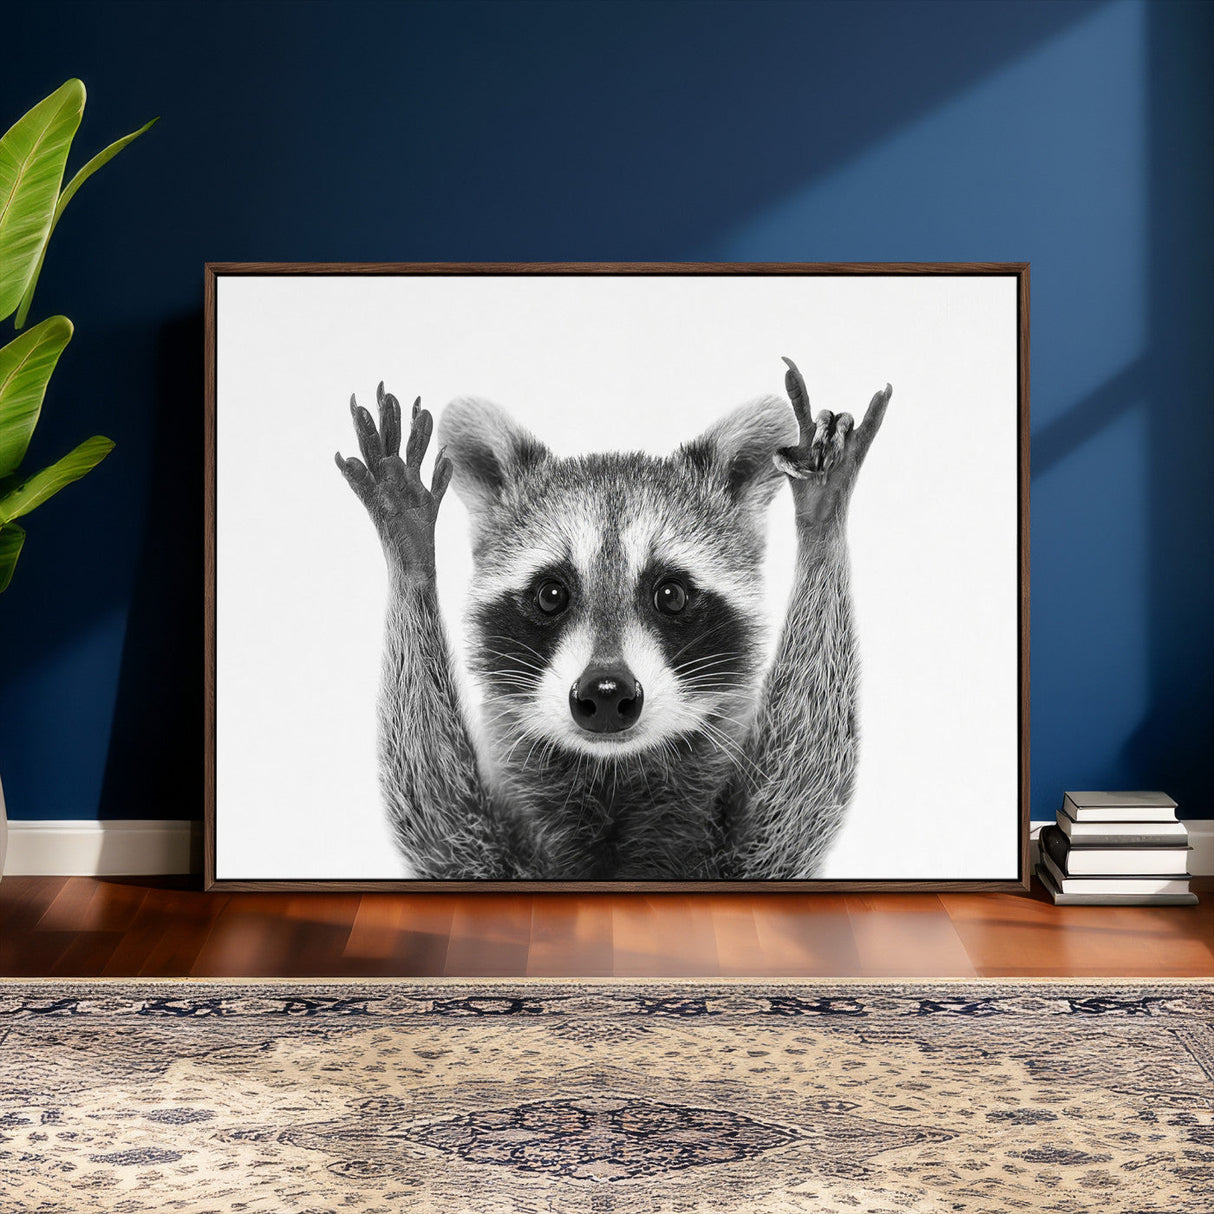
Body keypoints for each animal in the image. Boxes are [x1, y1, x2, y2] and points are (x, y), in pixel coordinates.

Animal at [335, 359, 890, 880]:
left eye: (670, 595)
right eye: (551, 595)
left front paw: (821, 520)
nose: (605, 693)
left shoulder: (751, 853)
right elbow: (435, 814)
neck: (611, 777)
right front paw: (410, 552)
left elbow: (800, 788)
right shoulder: (481, 852)